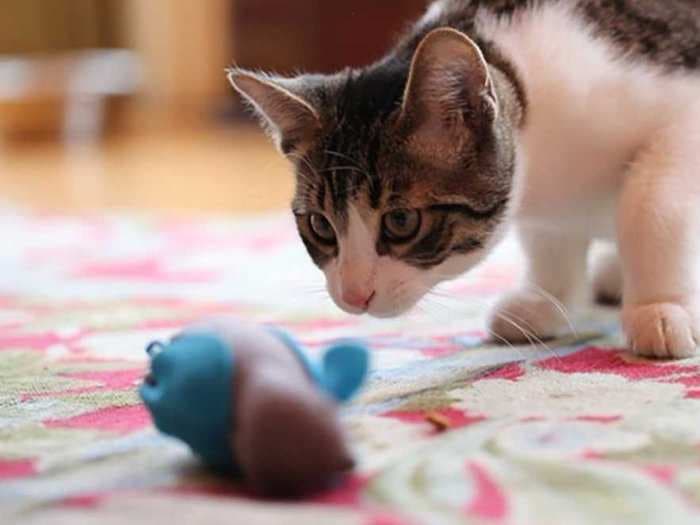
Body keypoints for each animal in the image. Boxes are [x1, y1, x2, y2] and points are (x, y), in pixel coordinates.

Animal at [230, 0, 700, 358]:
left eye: (402, 222)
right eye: (321, 226)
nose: (353, 296)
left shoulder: (686, 118)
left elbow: (651, 206)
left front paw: (659, 307)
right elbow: (549, 238)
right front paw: (548, 298)